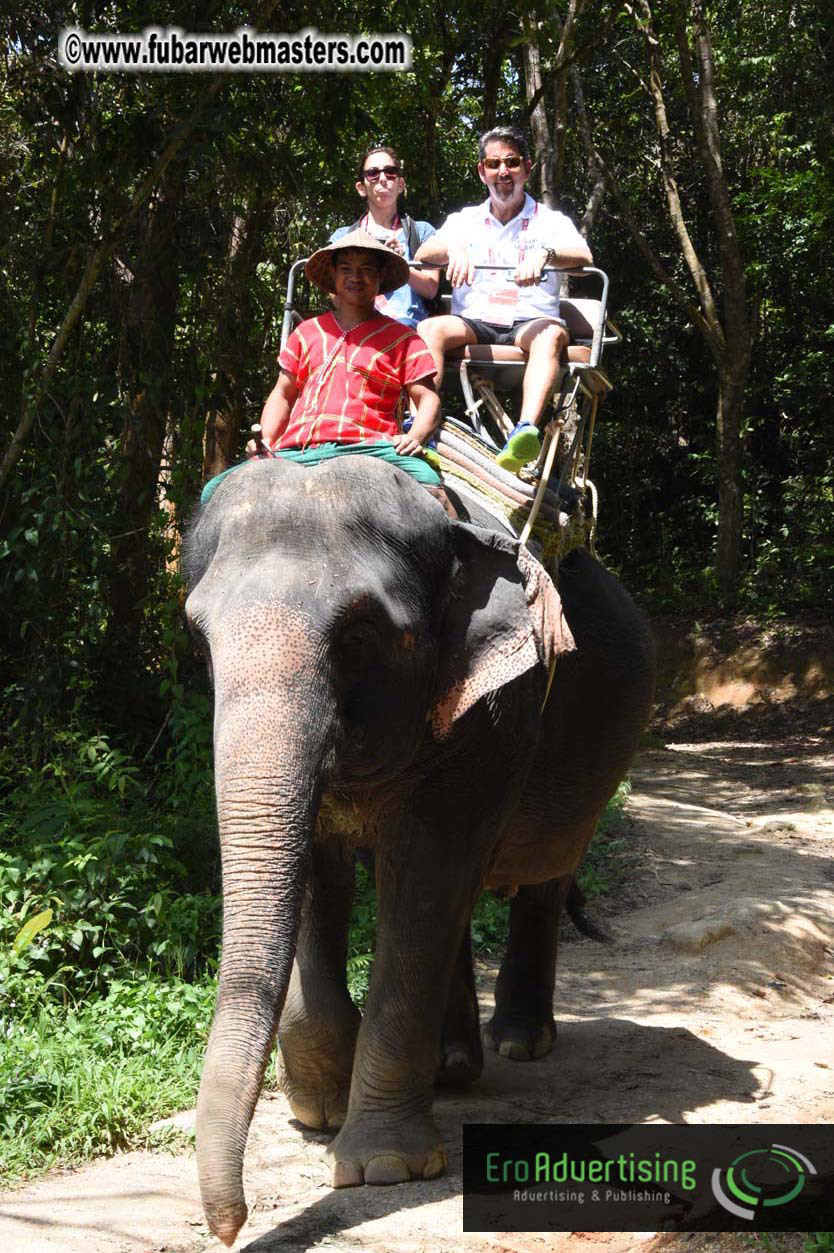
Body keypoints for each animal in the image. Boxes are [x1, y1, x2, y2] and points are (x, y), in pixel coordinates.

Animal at [182, 454, 655, 1246]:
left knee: (540, 876)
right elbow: (321, 869)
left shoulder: (496, 710)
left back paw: (520, 1043)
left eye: (357, 637)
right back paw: (454, 1067)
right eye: (200, 635)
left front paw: (384, 1168)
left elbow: (425, 874)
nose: (228, 1227)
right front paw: (320, 1112)